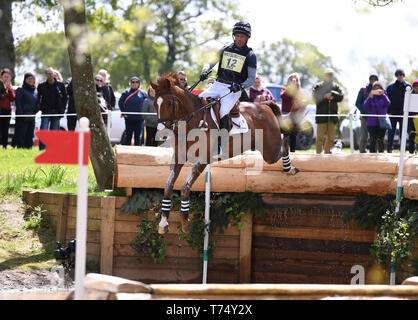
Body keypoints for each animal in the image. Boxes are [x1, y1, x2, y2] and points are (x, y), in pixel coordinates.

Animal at [150, 72, 304, 234]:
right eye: (154, 104)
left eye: (169, 103)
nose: (161, 132)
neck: (191, 122)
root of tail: (263, 105)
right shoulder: (179, 156)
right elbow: (168, 186)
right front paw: (163, 223)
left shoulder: (203, 159)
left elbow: (185, 187)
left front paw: (185, 223)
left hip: (270, 151)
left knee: (285, 145)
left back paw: (290, 169)